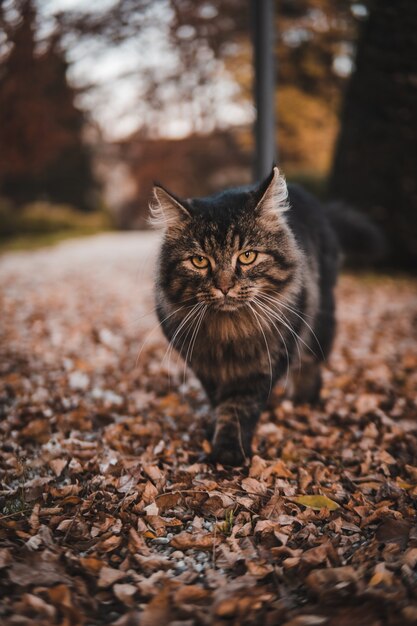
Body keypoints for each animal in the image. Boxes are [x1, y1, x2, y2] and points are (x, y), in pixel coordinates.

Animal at [151, 166, 382, 464]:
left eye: (247, 256)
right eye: (199, 261)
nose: (224, 286)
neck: (230, 331)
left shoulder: (266, 361)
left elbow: (239, 406)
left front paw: (229, 451)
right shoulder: (202, 363)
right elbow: (219, 399)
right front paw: (216, 428)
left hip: (319, 320)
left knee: (312, 363)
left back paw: (303, 400)